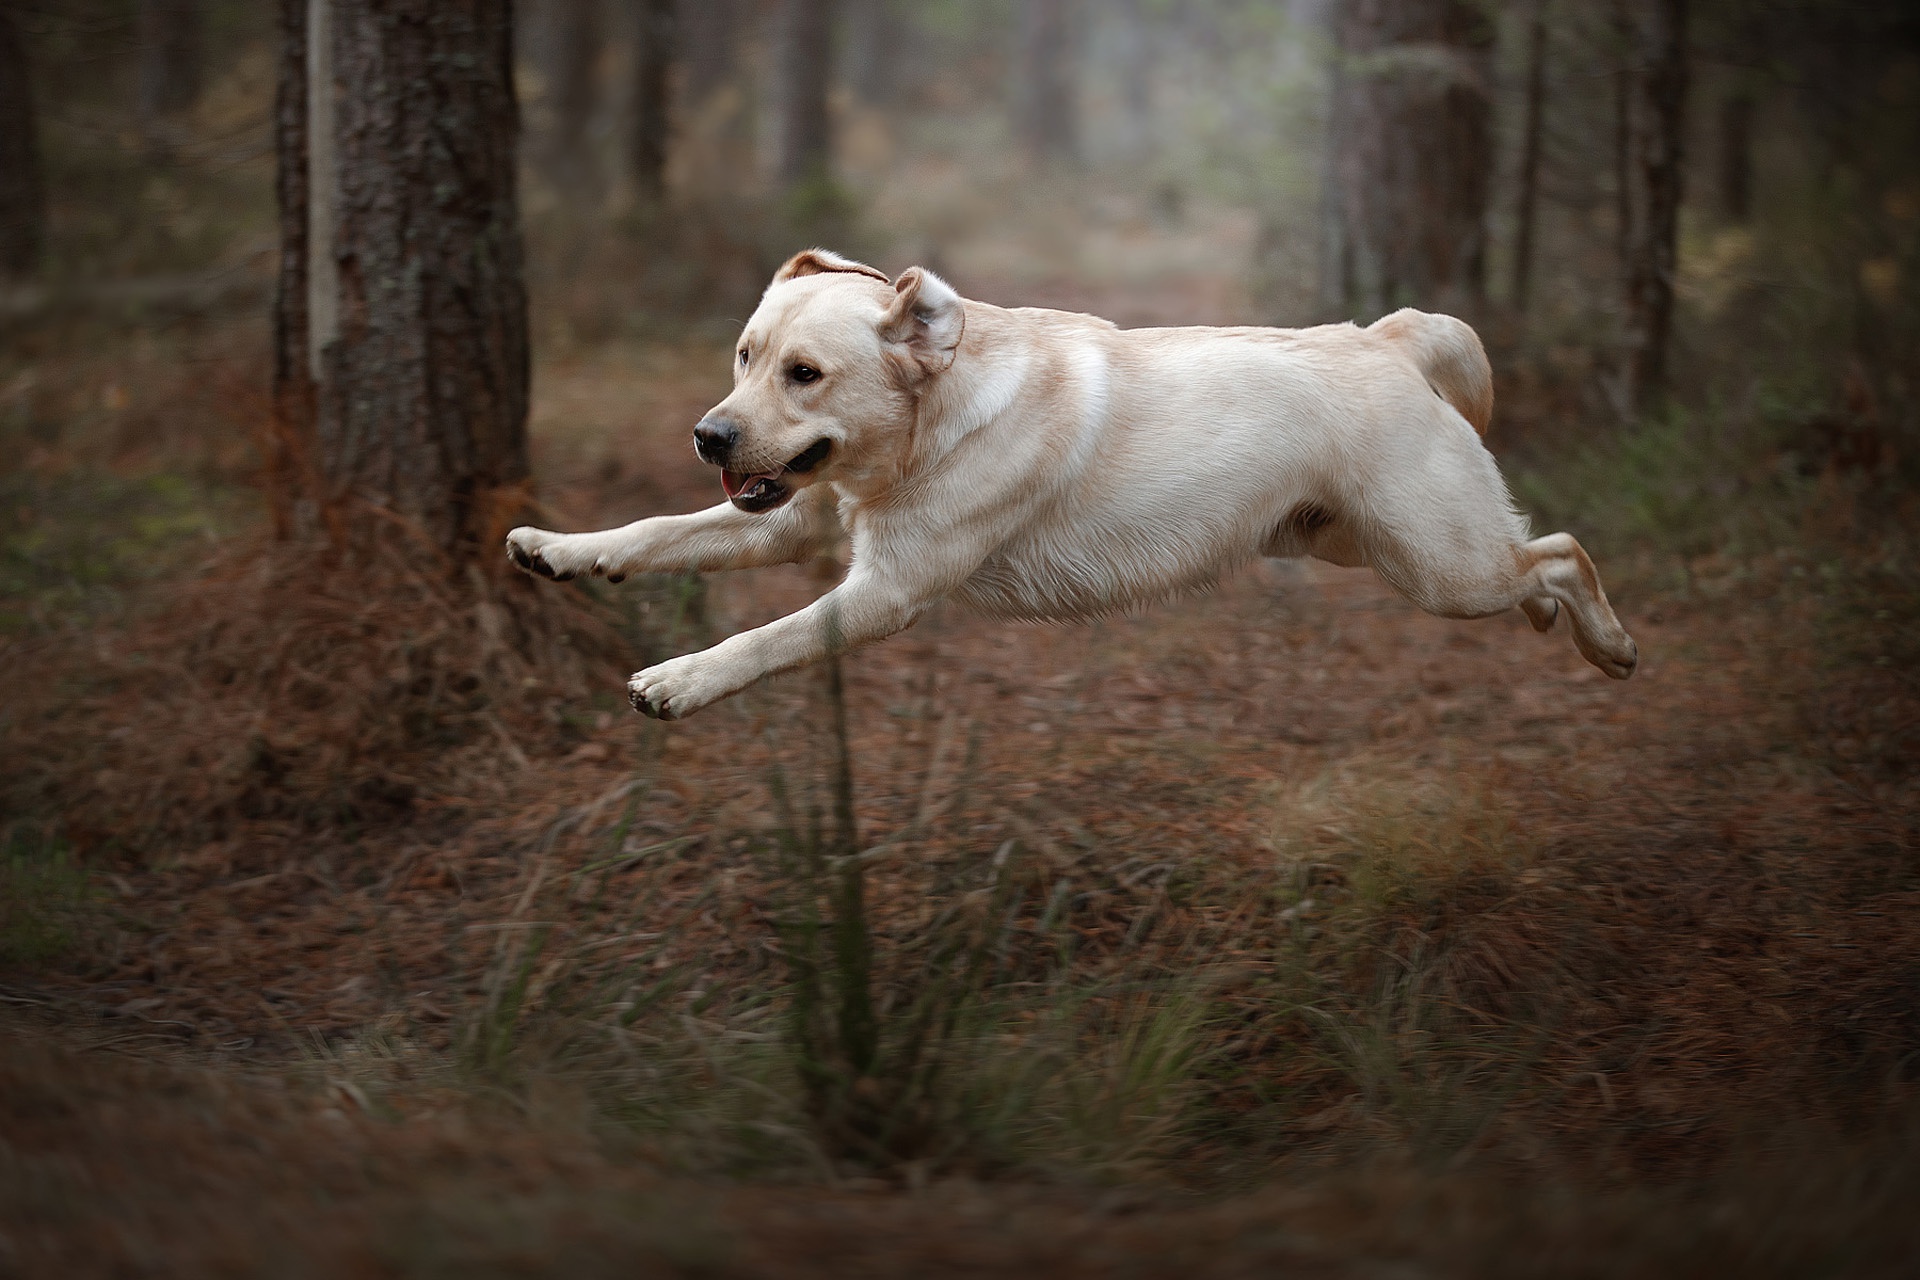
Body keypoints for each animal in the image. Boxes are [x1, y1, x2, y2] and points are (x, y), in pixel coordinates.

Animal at [510, 245, 1635, 717]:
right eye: (743, 356)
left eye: (805, 374)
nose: (708, 435)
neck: (927, 429)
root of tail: (1387, 335)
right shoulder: (798, 521)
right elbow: (658, 530)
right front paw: (558, 549)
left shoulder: (884, 593)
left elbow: (761, 639)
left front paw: (677, 680)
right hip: (1358, 544)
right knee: (1535, 559)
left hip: (1439, 566)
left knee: (1561, 551)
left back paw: (1609, 643)